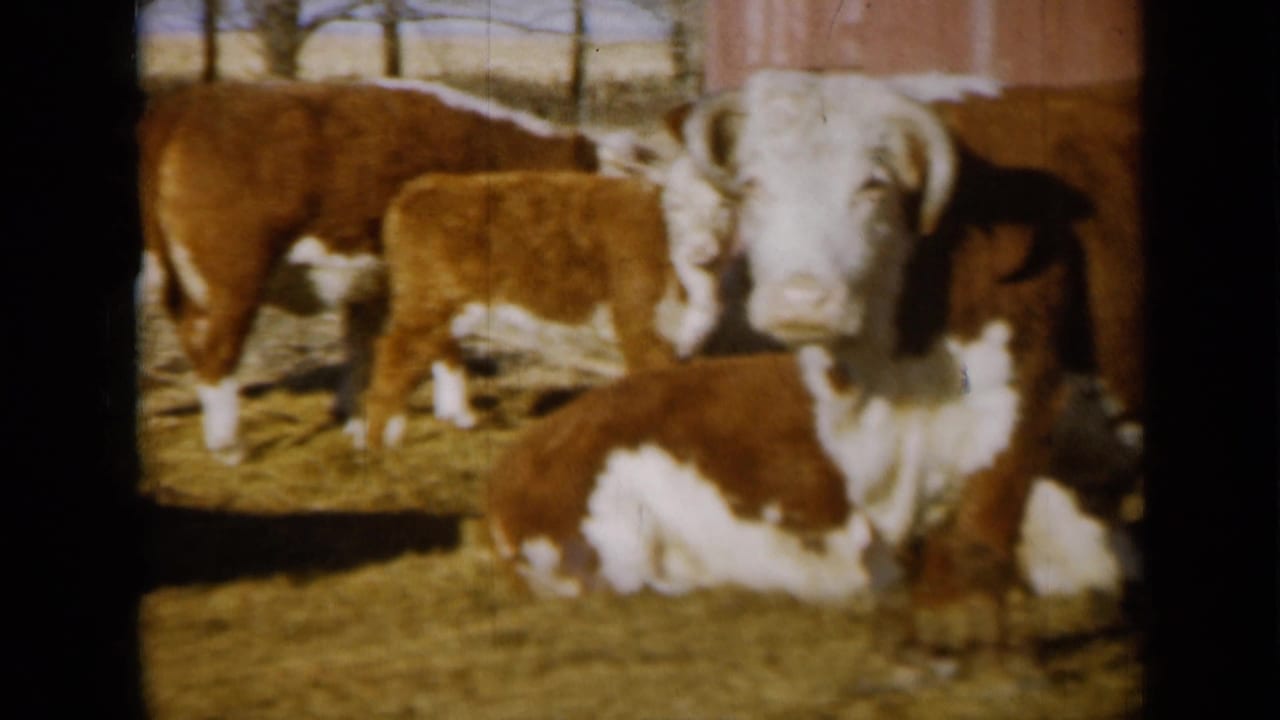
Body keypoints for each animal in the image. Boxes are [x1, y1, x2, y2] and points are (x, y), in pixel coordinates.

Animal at [137, 78, 653, 464]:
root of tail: (188, 102)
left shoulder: (376, 283)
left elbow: (366, 347)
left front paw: (359, 418)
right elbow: (439, 343)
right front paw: (454, 414)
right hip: (231, 276)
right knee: (216, 349)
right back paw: (230, 446)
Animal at [358, 168, 732, 450]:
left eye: (722, 209)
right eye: (677, 209)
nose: (703, 248)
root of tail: (421, 187)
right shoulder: (642, 330)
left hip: (446, 309)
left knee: (437, 350)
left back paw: (458, 418)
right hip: (427, 302)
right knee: (395, 352)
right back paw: (378, 441)